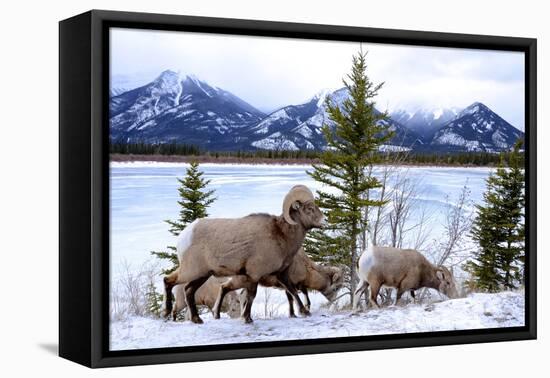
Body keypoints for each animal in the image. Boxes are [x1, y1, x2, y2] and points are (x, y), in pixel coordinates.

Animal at [163, 185, 324, 324]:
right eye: (310, 209)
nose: (324, 221)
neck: (281, 236)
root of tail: (184, 236)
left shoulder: (281, 274)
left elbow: (293, 291)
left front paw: (305, 312)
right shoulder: (254, 274)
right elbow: (251, 296)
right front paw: (247, 318)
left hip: (201, 274)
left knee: (188, 290)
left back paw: (197, 320)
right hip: (191, 271)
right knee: (168, 280)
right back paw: (166, 313)